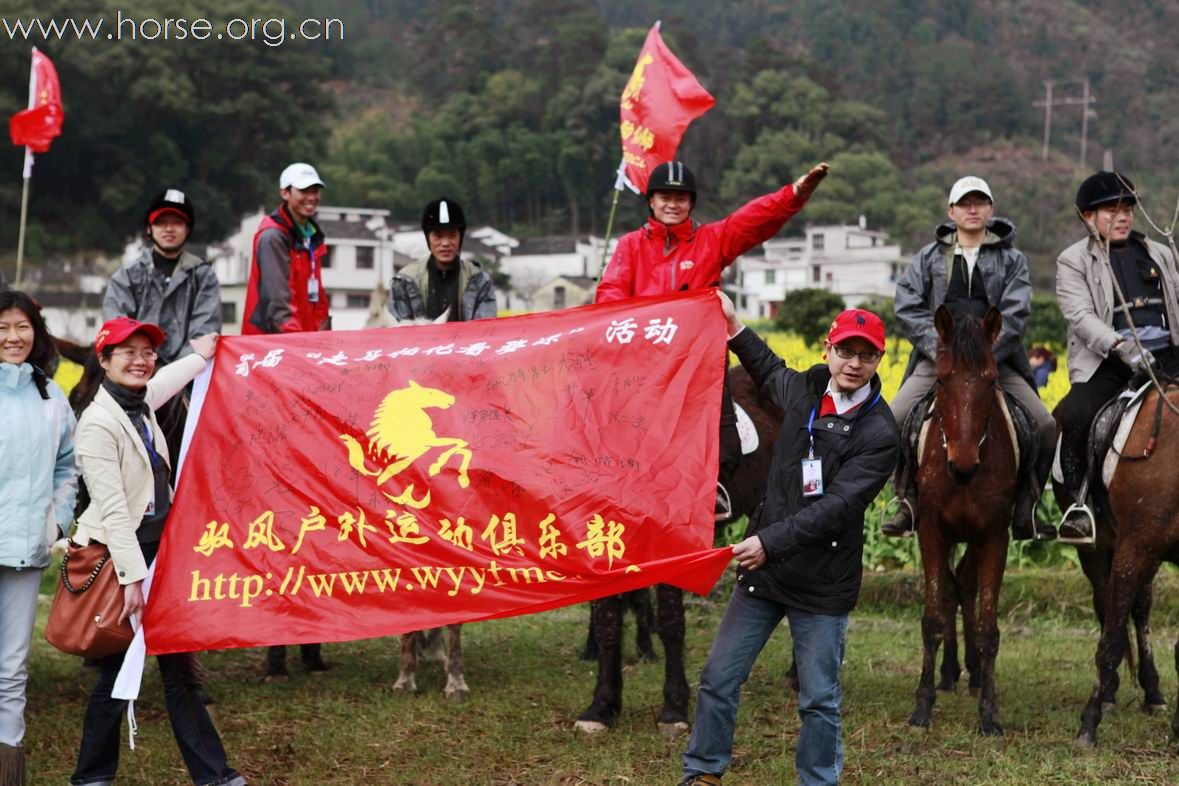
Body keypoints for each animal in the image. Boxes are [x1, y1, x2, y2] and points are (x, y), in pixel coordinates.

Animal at [905, 306, 1018, 740]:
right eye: (940, 379)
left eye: (990, 380)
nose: (963, 465)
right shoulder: (932, 531)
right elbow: (932, 618)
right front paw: (922, 707)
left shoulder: (994, 536)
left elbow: (988, 628)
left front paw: (989, 713)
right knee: (953, 587)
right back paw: (951, 671)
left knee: (963, 584)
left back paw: (969, 672)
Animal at [1075, 384, 1179, 749]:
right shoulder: (1130, 548)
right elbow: (1109, 641)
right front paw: (1089, 724)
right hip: (1099, 549)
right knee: (1107, 606)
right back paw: (1109, 694)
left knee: (1140, 606)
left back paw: (1153, 692)